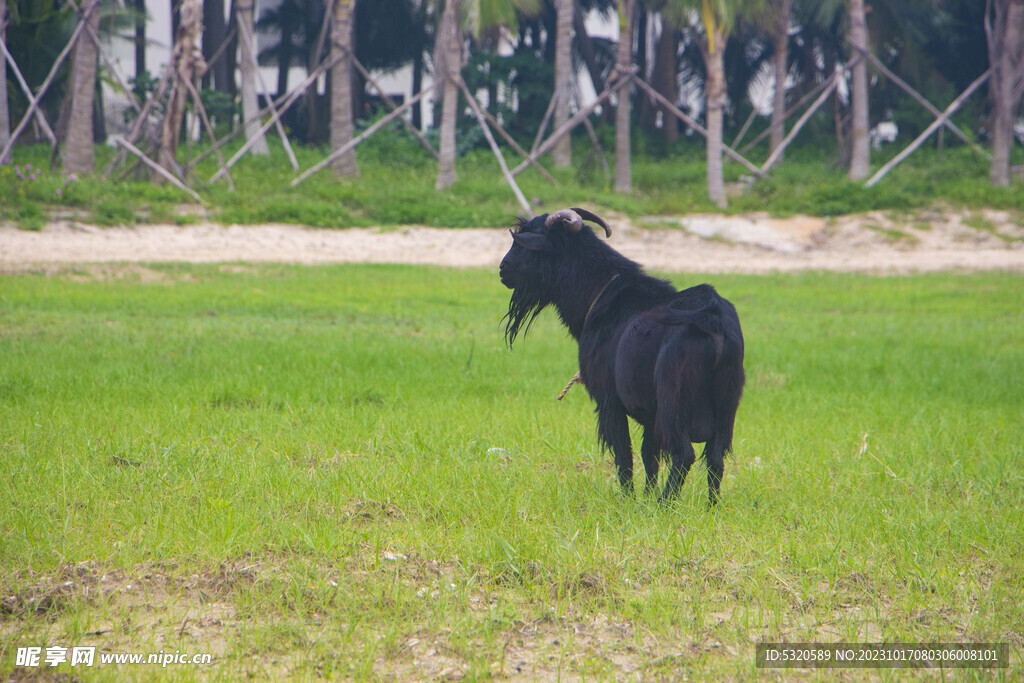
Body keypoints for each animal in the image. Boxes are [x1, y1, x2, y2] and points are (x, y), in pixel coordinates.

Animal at [501, 206, 749, 501]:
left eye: (526, 241)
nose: (503, 269)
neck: (599, 293)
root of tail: (711, 318)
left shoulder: (609, 401)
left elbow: (624, 455)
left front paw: (630, 499)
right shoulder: (650, 415)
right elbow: (649, 456)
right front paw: (646, 498)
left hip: (673, 401)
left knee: (684, 455)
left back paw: (665, 504)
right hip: (726, 404)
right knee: (715, 458)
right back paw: (710, 506)